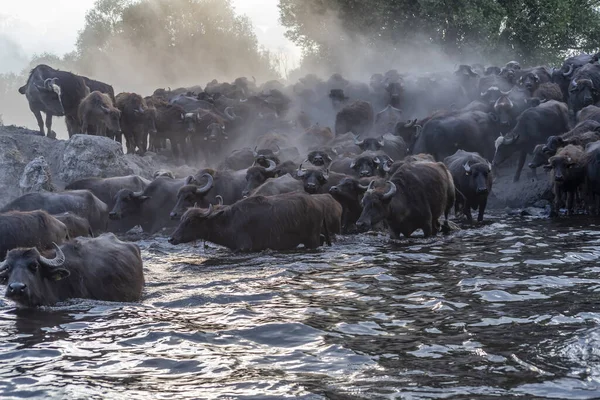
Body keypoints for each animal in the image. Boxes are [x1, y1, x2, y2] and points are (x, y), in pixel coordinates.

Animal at [169, 193, 332, 252]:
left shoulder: (244, 247)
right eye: (181, 220)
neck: (228, 221)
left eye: (190, 221)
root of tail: (319, 203)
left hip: (311, 239)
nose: (172, 238)